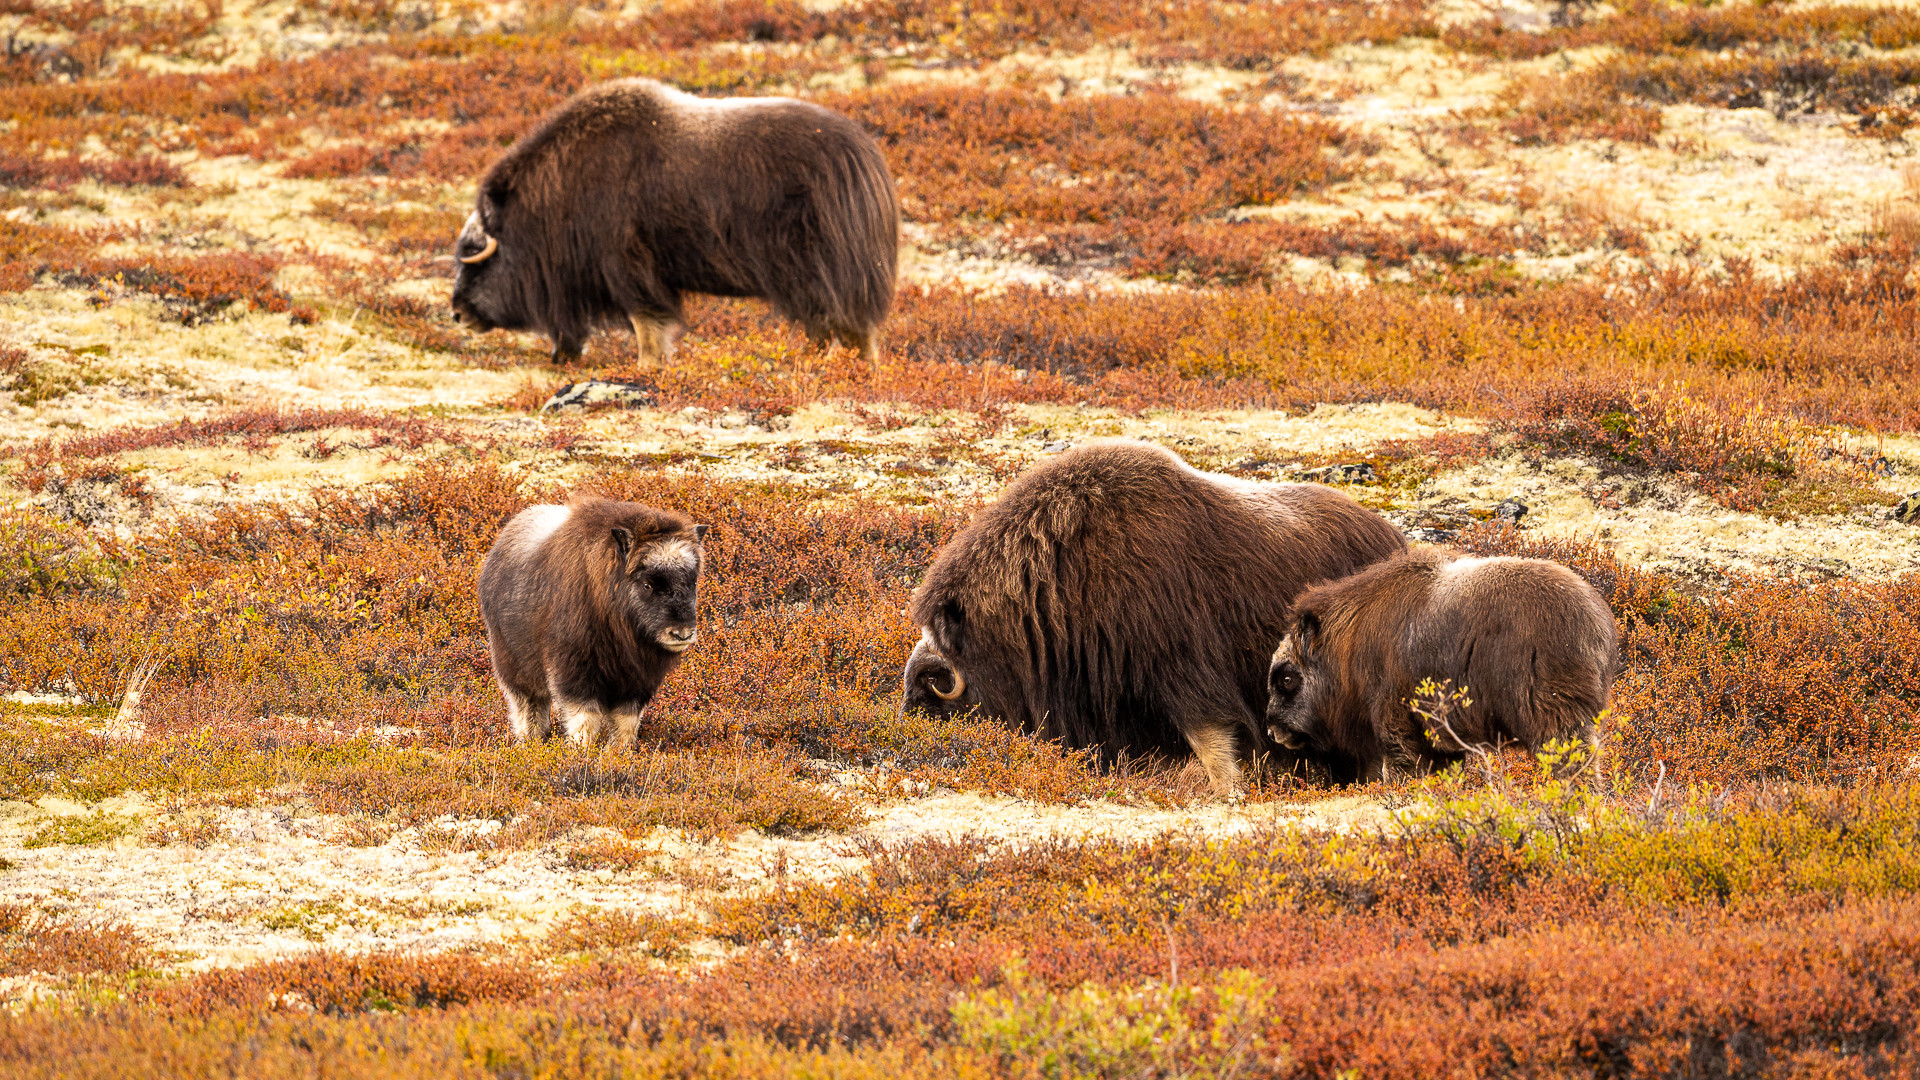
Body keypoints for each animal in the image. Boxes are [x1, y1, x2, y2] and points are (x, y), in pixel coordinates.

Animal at [449, 78, 898, 365]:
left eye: (479, 257)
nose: (457, 313)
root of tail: (865, 157)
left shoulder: (628, 265)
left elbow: (646, 321)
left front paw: (648, 367)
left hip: (819, 271)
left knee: (842, 324)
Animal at [480, 491, 714, 745]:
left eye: (692, 581)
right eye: (647, 584)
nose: (682, 633)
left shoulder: (637, 680)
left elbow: (626, 721)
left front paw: (620, 750)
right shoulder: (574, 669)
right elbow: (585, 716)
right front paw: (582, 748)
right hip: (514, 666)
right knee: (529, 704)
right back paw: (531, 741)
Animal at [898, 432, 1413, 795]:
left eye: (935, 689)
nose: (913, 732)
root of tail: (1393, 538)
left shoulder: (1185, 676)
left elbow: (1214, 750)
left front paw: (1229, 797)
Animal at [1267, 549, 1612, 776]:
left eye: (1287, 678)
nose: (1272, 730)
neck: (1349, 642)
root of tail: (1594, 618)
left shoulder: (1395, 716)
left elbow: (1402, 763)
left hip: (1552, 715)